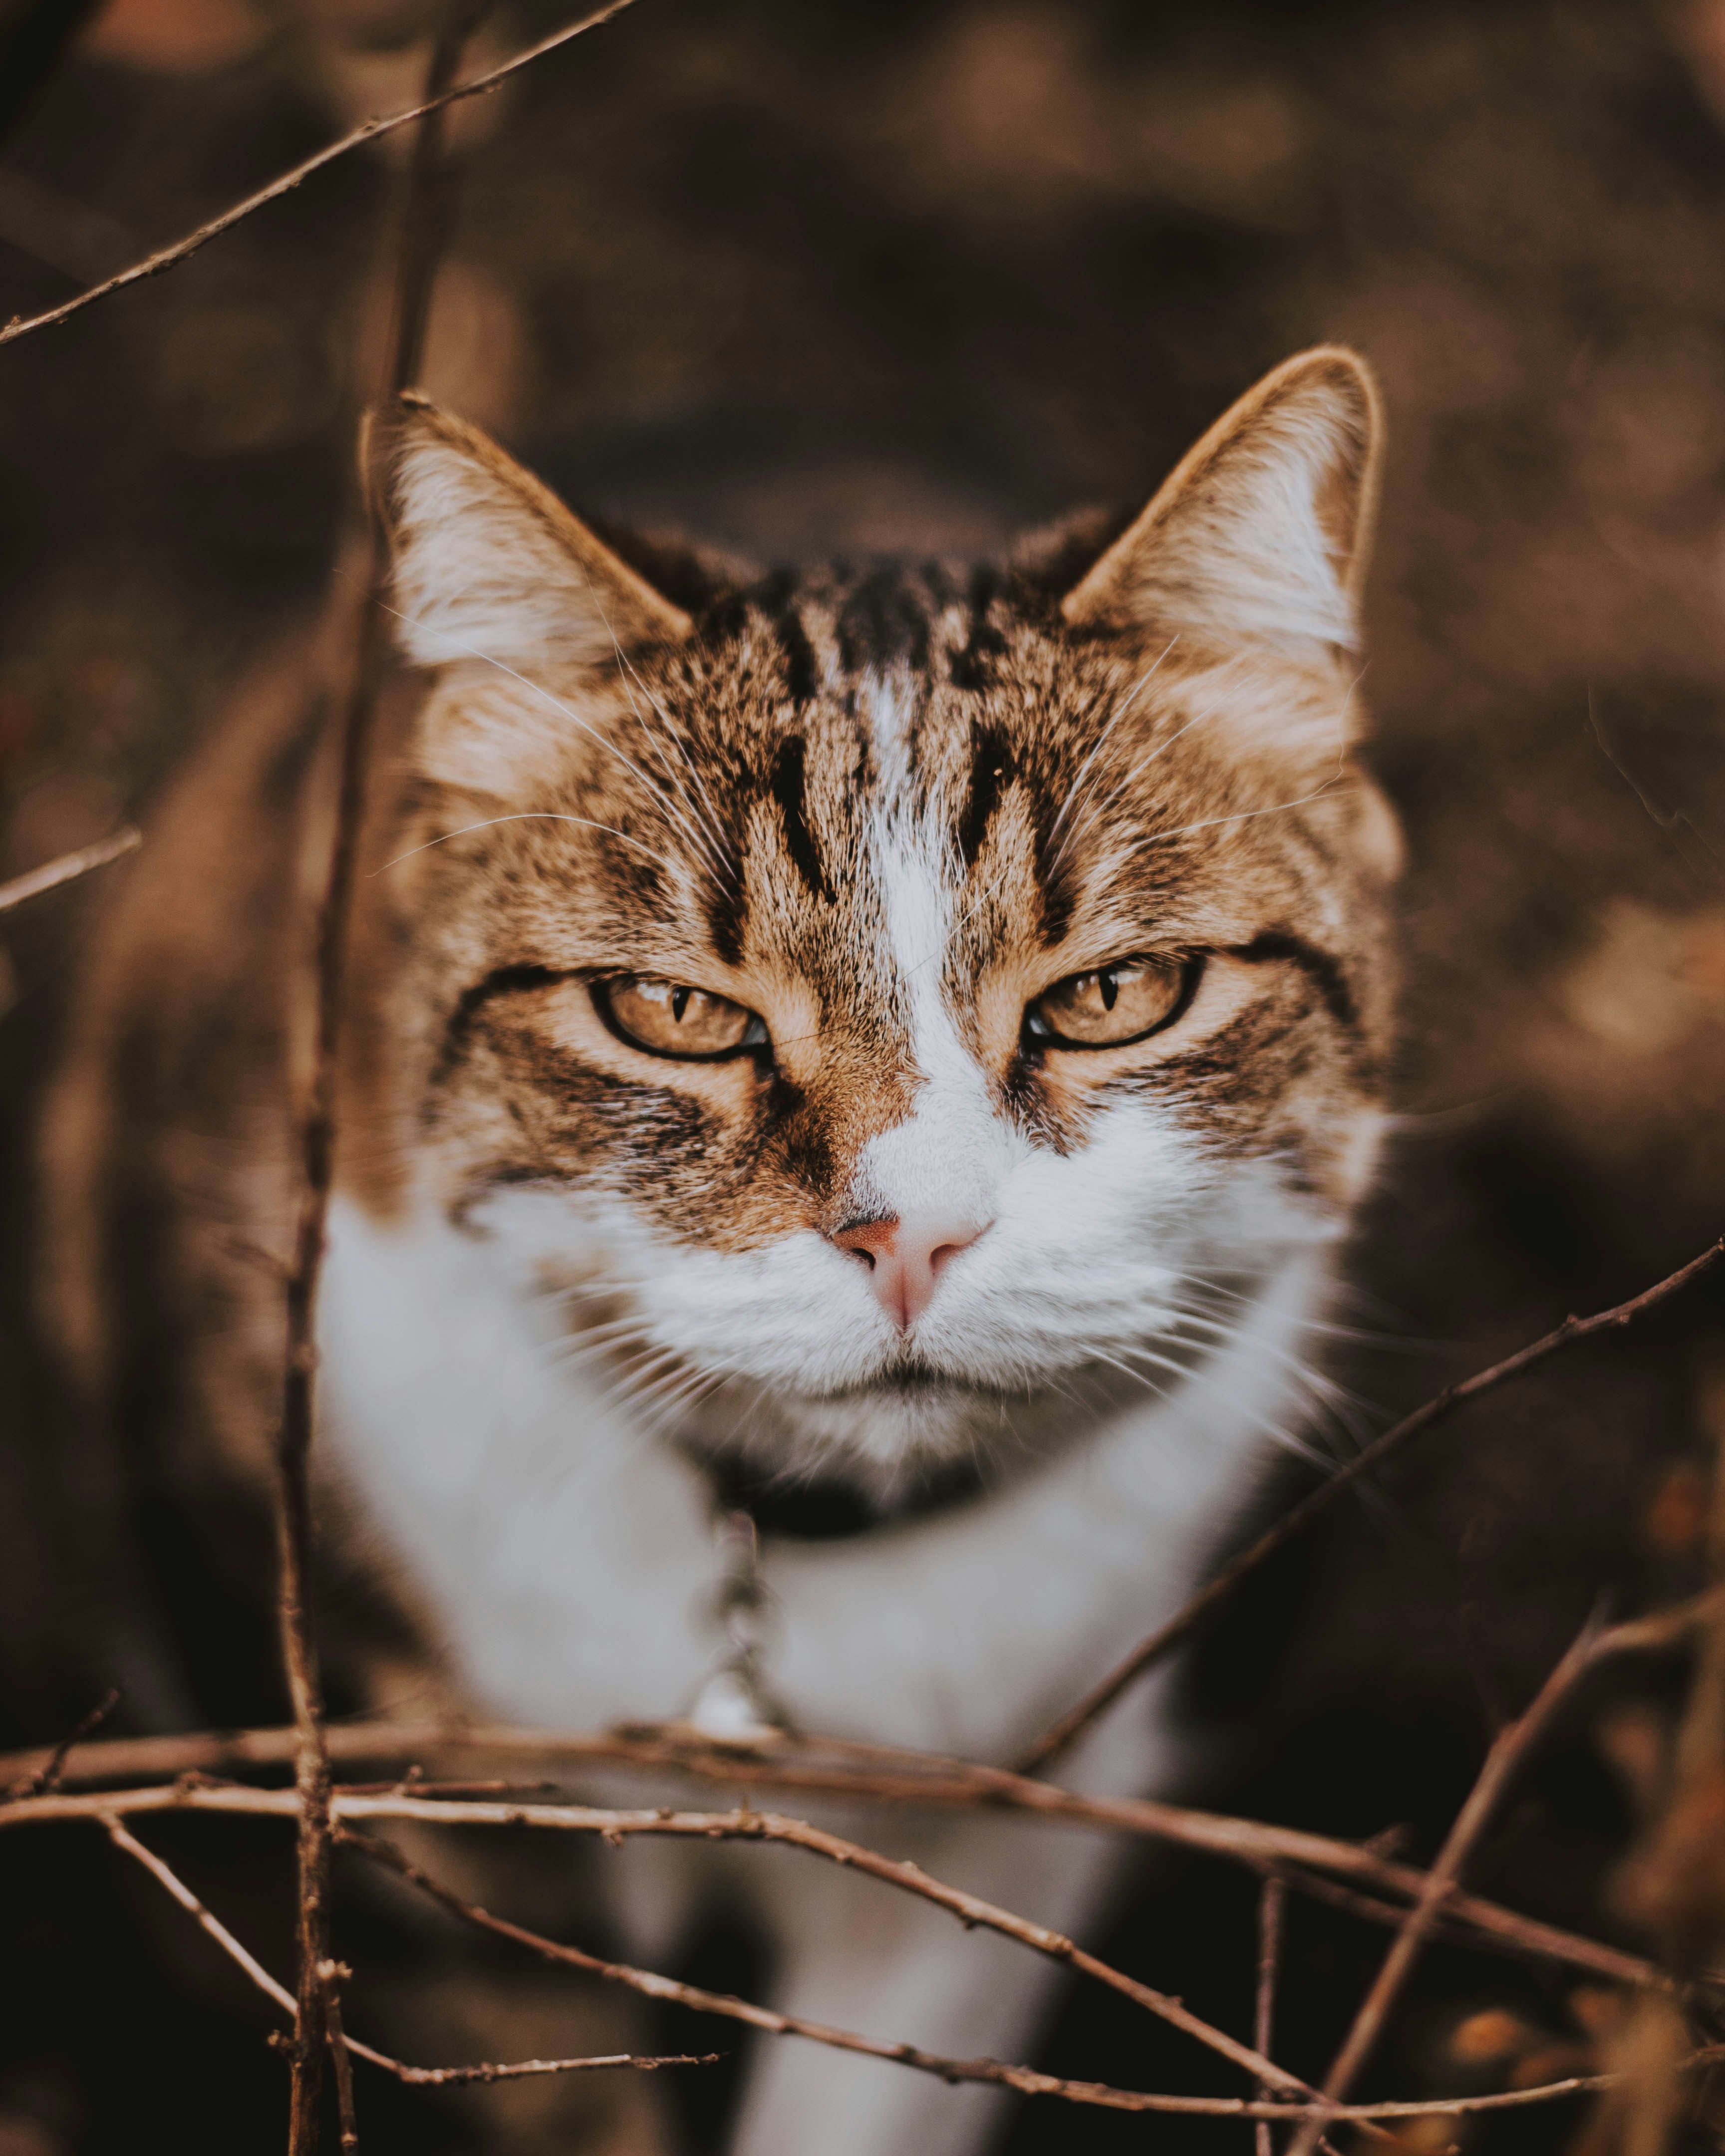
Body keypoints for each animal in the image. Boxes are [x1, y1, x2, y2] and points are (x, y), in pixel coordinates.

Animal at [43, 345, 1397, 2147]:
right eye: (673, 1013)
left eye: (1116, 993)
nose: (910, 1233)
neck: (800, 1566)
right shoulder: (420, 1813)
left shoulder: (1013, 1829)